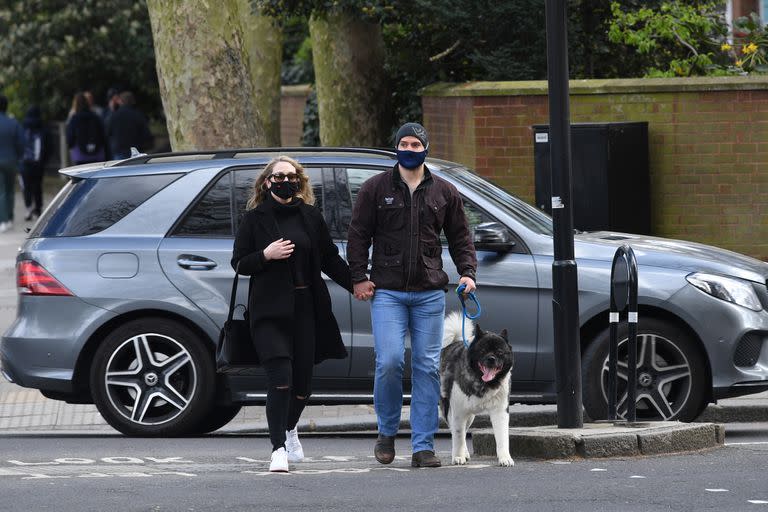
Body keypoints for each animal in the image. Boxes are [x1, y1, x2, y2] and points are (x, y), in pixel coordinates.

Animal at [440, 310, 512, 466]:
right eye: (483, 350)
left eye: (500, 352)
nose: (491, 359)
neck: (482, 382)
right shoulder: (458, 412)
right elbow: (458, 436)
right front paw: (458, 456)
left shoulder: (500, 412)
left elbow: (502, 437)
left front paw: (505, 458)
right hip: (449, 409)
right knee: (456, 431)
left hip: (470, 416)